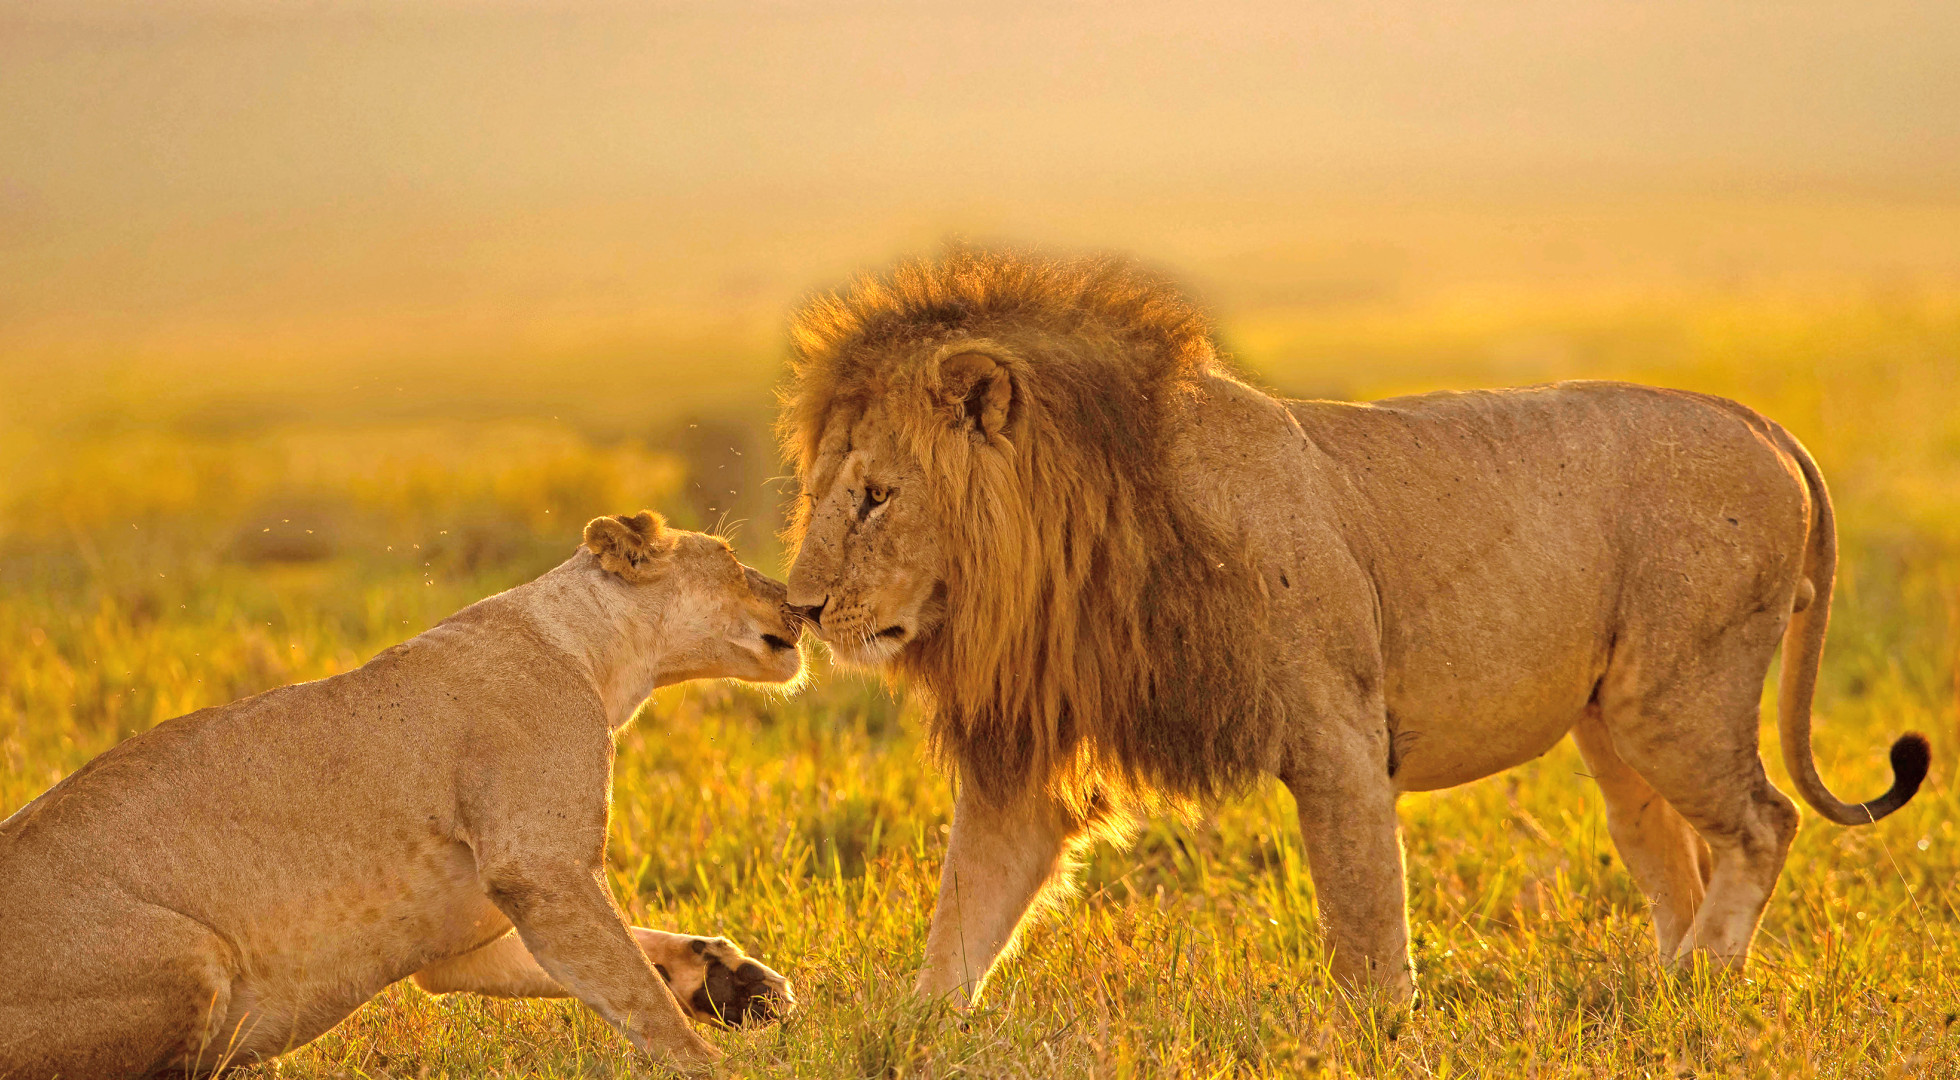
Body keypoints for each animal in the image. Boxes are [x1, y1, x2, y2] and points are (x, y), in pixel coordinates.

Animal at [0, 513, 800, 1079]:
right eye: (732, 560)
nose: (800, 604)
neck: (596, 655)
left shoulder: (465, 938)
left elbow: (629, 958)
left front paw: (735, 981)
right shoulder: (539, 870)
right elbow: (638, 991)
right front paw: (717, 1065)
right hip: (194, 953)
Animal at [778, 247, 1931, 1005]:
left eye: (876, 498)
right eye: (823, 490)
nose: (799, 608)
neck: (1076, 545)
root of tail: (1759, 420)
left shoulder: (1338, 738)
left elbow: (1367, 933)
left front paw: (1381, 1039)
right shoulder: (1030, 757)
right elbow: (960, 924)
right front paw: (911, 1037)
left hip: (1676, 698)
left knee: (1764, 822)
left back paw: (1696, 981)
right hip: (1616, 734)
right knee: (1677, 856)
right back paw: (1668, 1000)